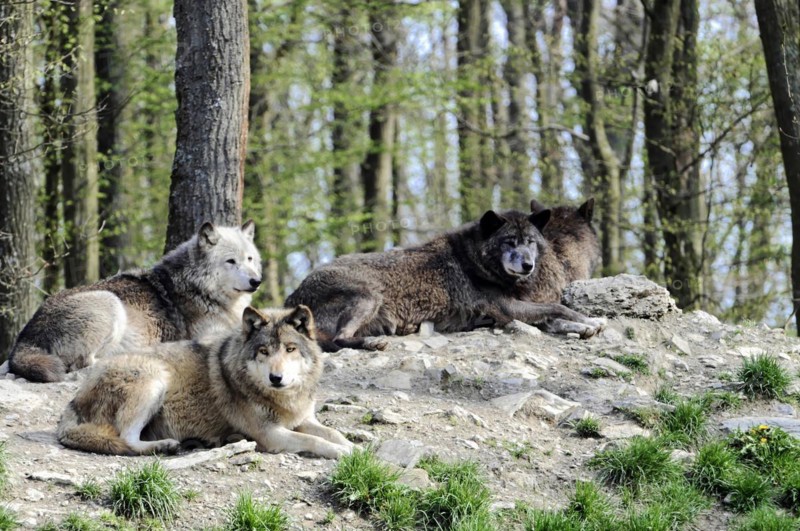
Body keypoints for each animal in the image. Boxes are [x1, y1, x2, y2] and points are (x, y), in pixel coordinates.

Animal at [8, 221, 262, 383]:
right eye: (231, 261)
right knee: (84, 363)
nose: (256, 281)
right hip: (110, 302)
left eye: (250, 259)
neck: (200, 289)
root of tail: (24, 338)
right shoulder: (209, 337)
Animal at [56, 306, 353, 459]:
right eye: (263, 351)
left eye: (290, 349)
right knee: (126, 439)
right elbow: (315, 441)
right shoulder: (270, 434)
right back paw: (165, 446)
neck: (283, 399)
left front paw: (356, 448)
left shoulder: (303, 419)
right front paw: (347, 454)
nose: (276, 378)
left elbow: (334, 433)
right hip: (155, 378)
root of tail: (73, 402)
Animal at [285, 206, 605, 351]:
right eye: (509, 242)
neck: (475, 261)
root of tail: (293, 297)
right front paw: (589, 319)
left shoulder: (514, 310)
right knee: (339, 339)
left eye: (530, 242)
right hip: (369, 295)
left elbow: (553, 316)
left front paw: (585, 326)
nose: (528, 265)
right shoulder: (508, 309)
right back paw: (372, 342)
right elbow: (557, 307)